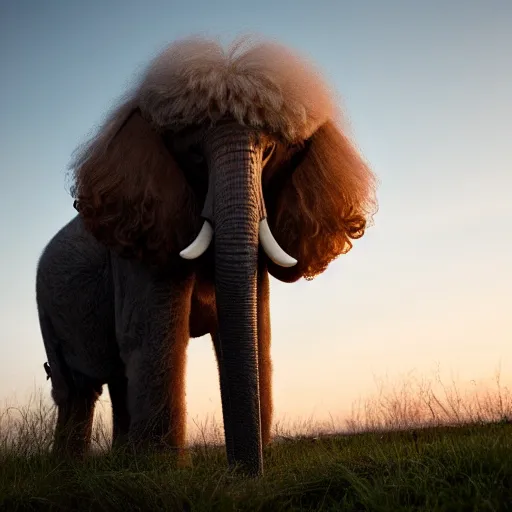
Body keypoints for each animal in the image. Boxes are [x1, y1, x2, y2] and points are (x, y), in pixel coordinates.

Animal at [36, 37, 376, 476]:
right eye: (195, 155)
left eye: (269, 152)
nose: (241, 475)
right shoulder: (147, 237)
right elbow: (152, 334)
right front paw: (161, 471)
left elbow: (257, 330)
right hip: (46, 310)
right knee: (76, 389)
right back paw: (69, 469)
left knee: (114, 381)